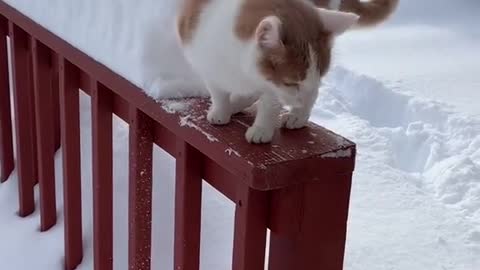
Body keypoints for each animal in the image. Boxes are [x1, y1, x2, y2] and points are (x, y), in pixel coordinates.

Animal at [176, 0, 398, 143]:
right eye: (292, 83)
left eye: (319, 76)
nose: (301, 99)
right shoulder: (204, 58)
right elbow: (218, 91)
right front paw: (221, 111)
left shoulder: (275, 86)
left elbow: (269, 102)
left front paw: (262, 128)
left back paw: (297, 115)